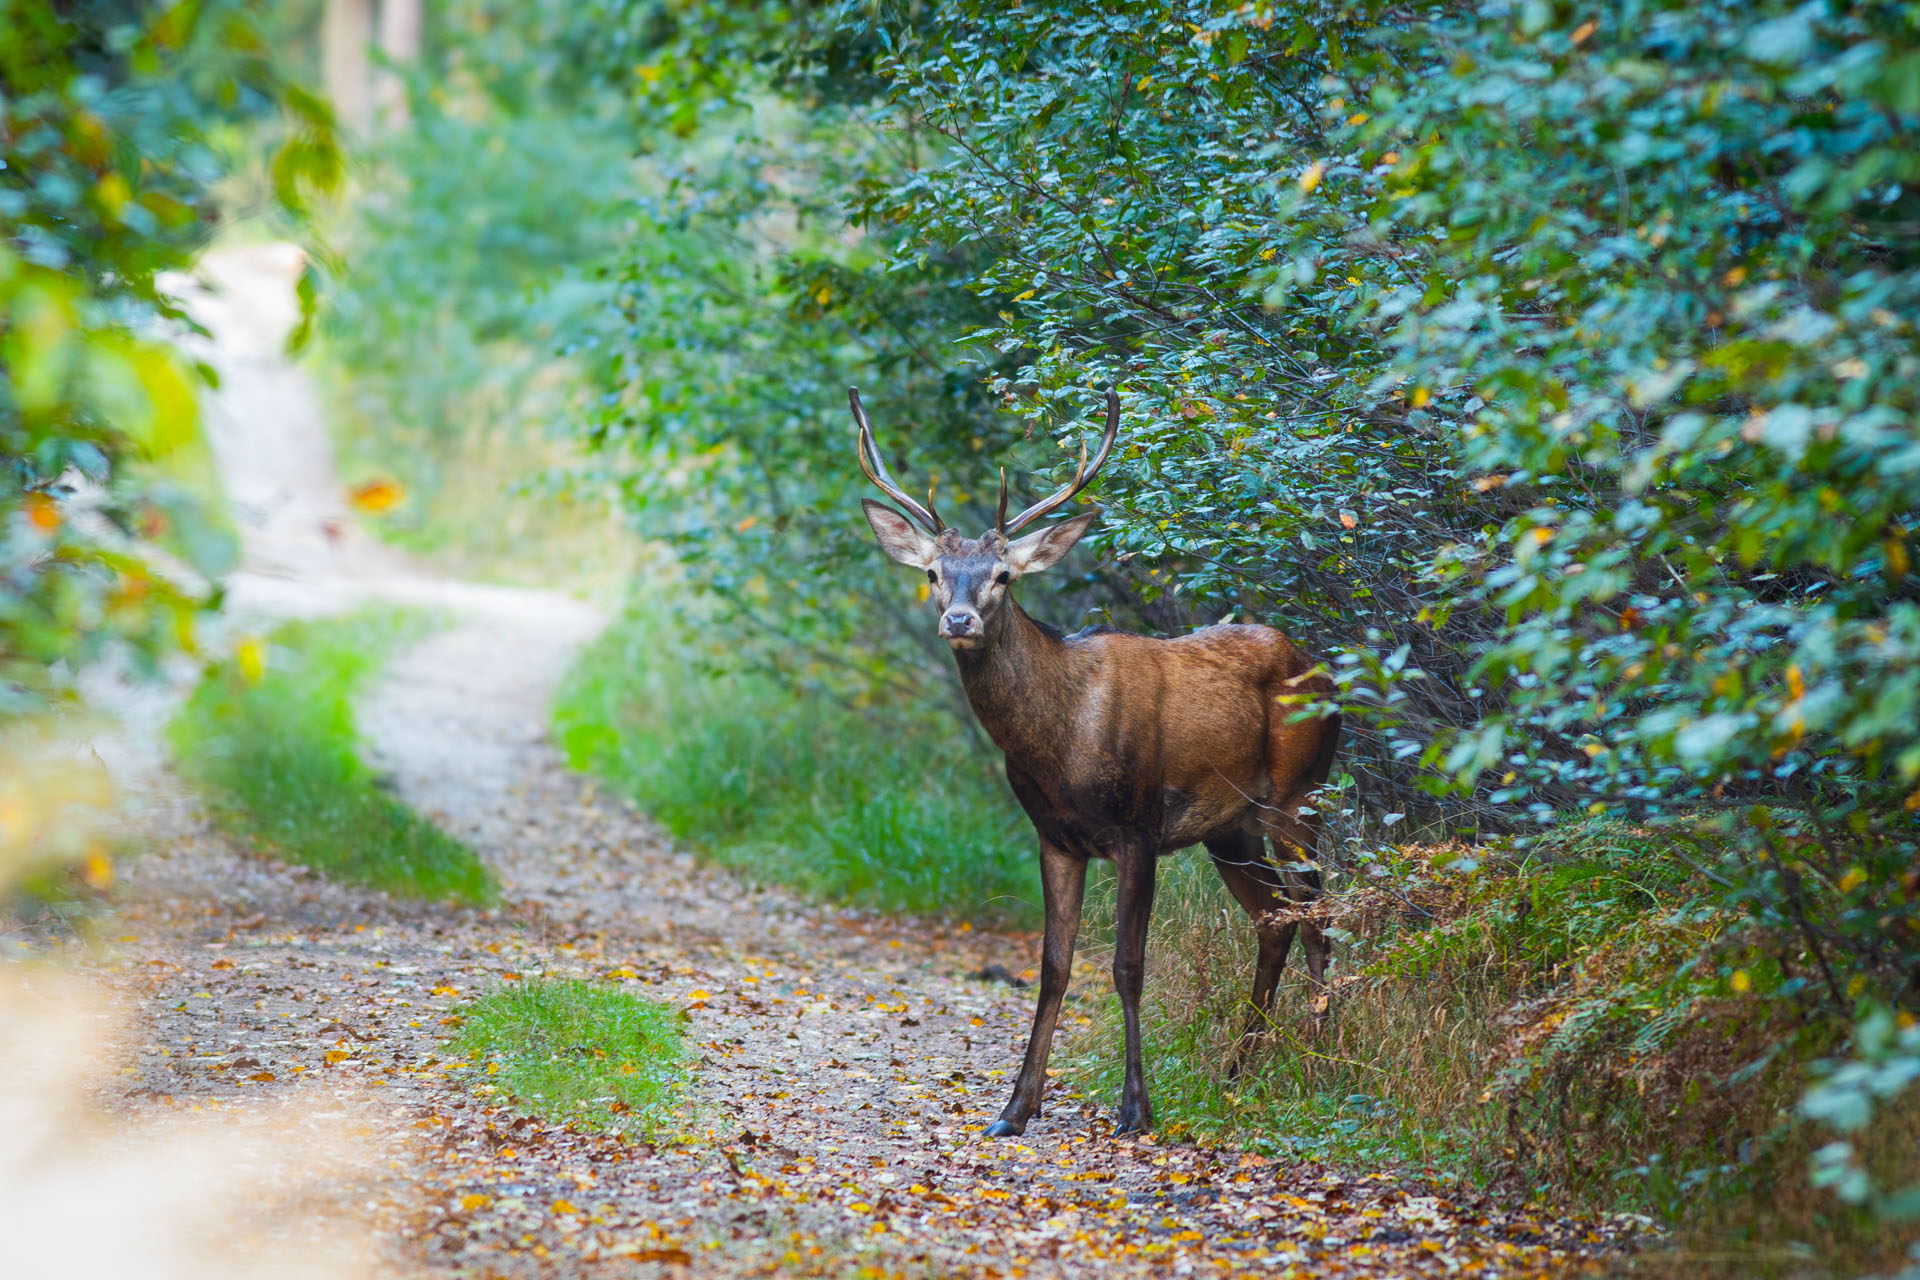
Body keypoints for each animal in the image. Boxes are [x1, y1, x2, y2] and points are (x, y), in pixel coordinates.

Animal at [851, 386, 1341, 1137]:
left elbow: (1126, 965)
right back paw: (1236, 1072)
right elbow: (1054, 966)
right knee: (1274, 922)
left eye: (1002, 576)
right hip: (1231, 827)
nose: (959, 620)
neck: (1061, 745)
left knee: (1319, 919)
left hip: (1297, 797)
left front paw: (1135, 1107)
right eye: (933, 573)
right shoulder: (1055, 837)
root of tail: (1331, 676)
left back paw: (1317, 1067)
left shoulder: (1138, 827)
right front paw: (1014, 1110)